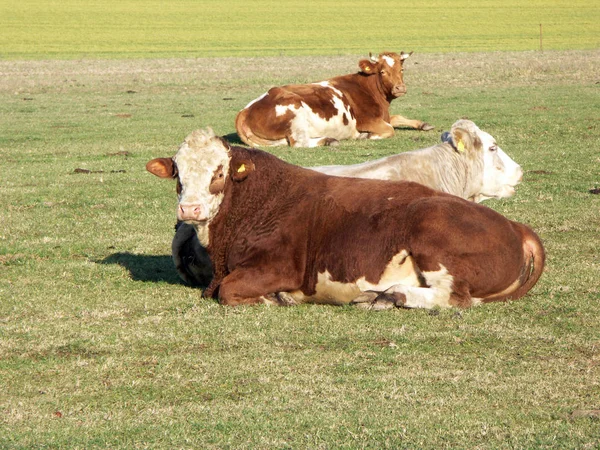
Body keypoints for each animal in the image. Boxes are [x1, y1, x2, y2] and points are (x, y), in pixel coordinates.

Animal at [233, 51, 432, 149]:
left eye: (401, 70)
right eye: (382, 71)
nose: (400, 88)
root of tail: (245, 110)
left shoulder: (384, 116)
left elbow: (396, 118)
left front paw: (423, 124)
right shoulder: (367, 120)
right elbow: (390, 129)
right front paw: (368, 136)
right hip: (295, 113)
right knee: (299, 143)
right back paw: (329, 140)